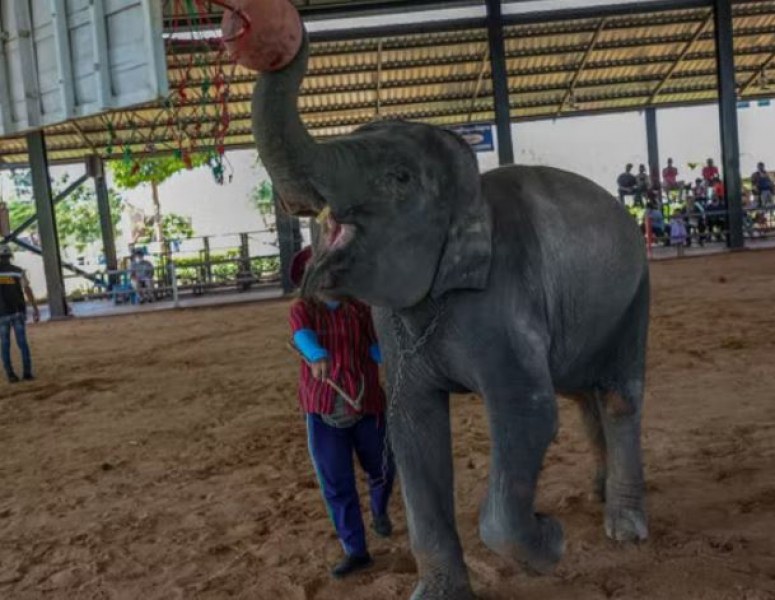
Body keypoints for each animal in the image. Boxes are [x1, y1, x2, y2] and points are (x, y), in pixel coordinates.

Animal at [253, 32, 648, 600]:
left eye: (398, 177)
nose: (283, 34)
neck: (471, 193)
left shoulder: (506, 294)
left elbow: (527, 415)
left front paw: (551, 540)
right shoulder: (395, 328)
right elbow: (412, 428)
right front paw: (439, 592)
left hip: (636, 290)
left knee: (618, 397)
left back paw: (624, 528)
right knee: (580, 393)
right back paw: (597, 493)